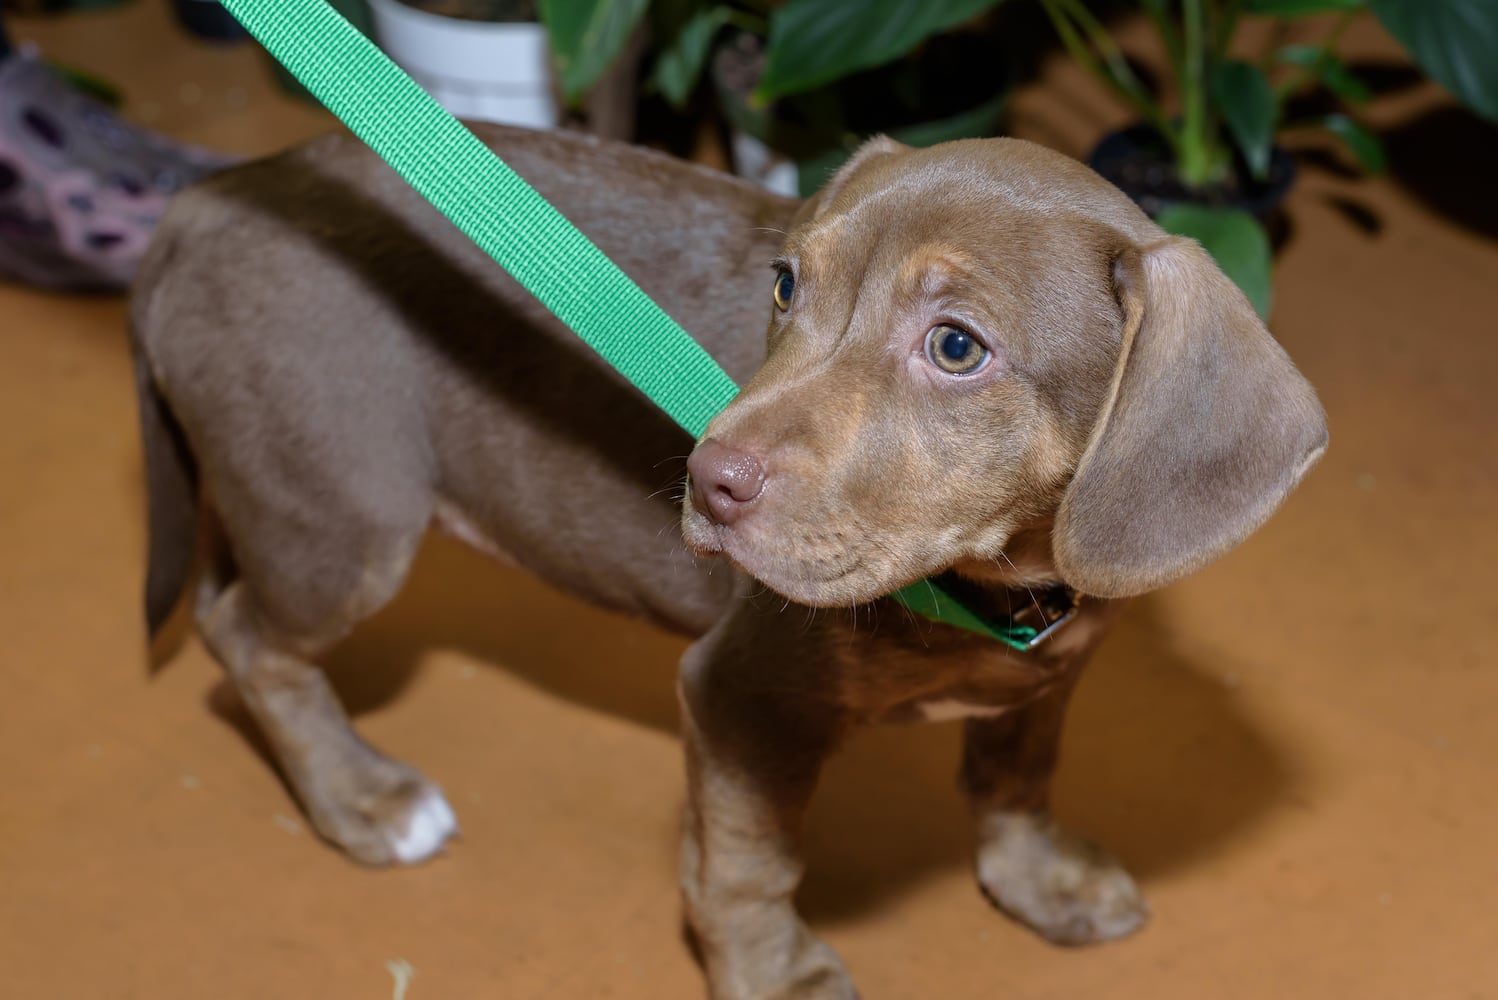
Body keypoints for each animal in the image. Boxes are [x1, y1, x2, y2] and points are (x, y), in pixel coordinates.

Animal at [128, 124, 1324, 999]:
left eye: (955, 346)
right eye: (787, 284)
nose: (707, 479)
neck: (991, 591)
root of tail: (220, 193)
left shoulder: (1051, 675)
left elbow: (1016, 776)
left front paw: (1039, 880)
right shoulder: (744, 697)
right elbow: (751, 866)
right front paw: (777, 976)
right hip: (342, 519)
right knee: (246, 638)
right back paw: (362, 799)